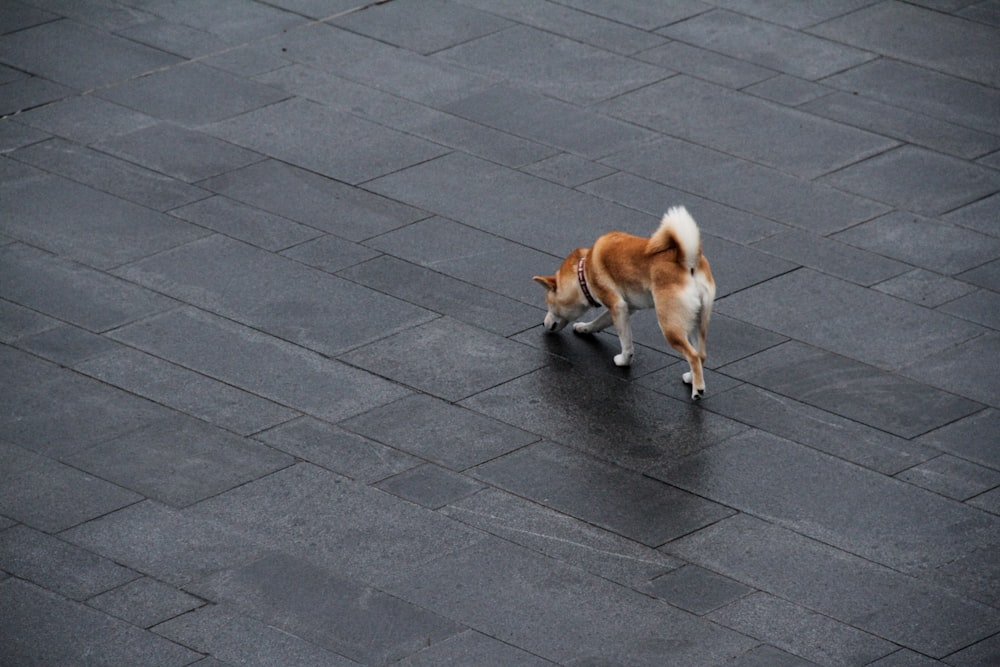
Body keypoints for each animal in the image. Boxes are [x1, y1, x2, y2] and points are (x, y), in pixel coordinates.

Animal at [536, 206, 716, 400]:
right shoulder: (626, 308)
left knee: (693, 355)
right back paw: (691, 378)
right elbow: (599, 321)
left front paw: (624, 360)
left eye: (549, 305)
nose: (543, 323)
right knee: (700, 354)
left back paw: (698, 389)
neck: (583, 272)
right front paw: (584, 328)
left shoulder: (617, 306)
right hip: (698, 321)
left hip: (669, 326)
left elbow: (626, 341)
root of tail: (688, 261)